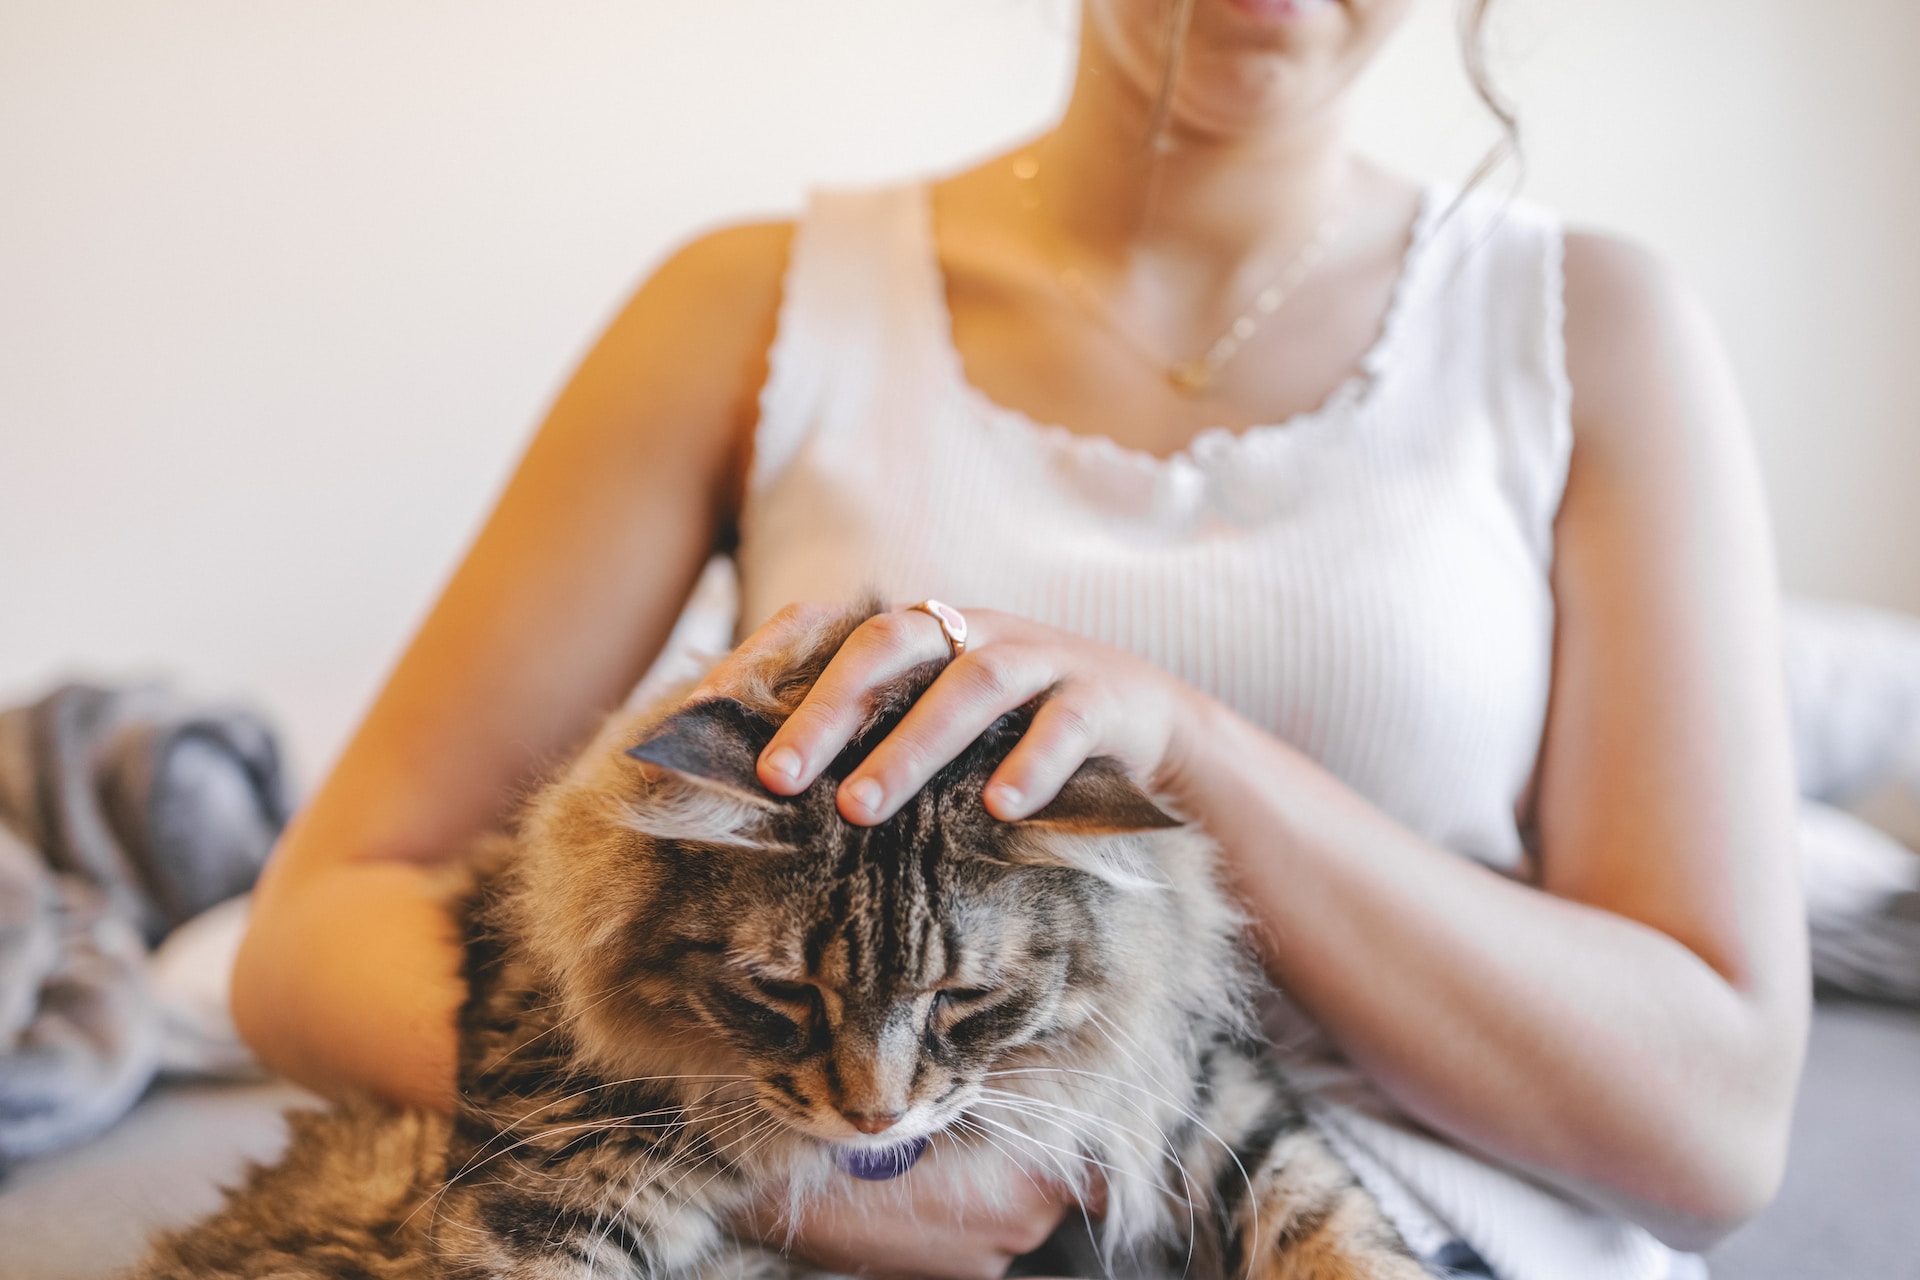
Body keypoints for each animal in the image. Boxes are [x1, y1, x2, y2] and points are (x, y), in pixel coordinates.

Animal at [139, 606, 1428, 1274]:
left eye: (964, 999)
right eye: (784, 993)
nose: (875, 1113)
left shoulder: (1202, 1091)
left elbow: (1338, 1229)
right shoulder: (559, 1171)